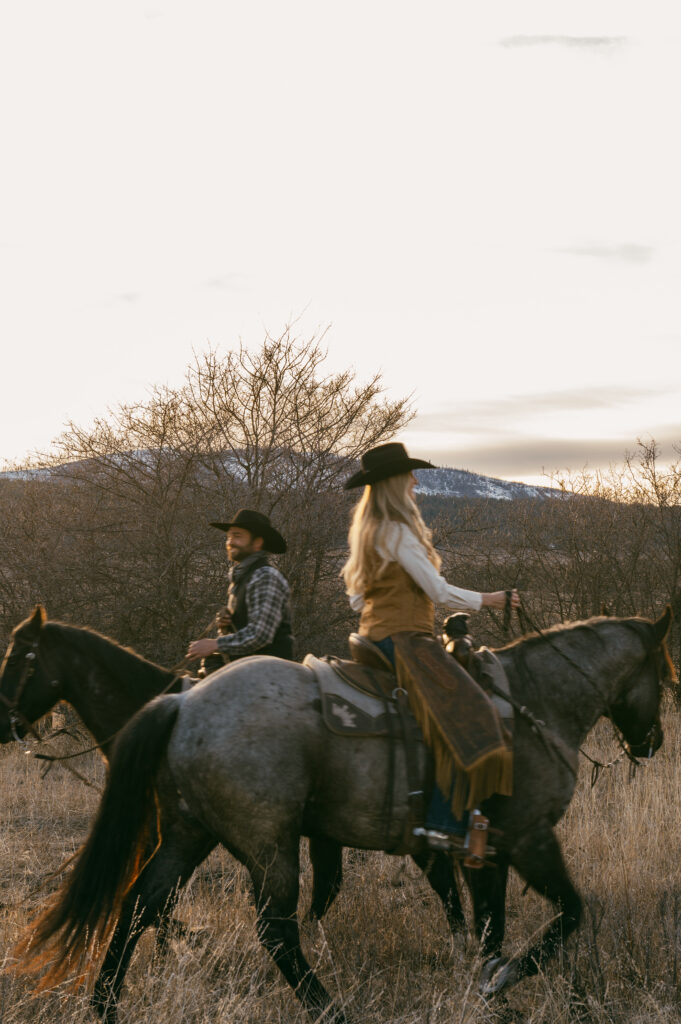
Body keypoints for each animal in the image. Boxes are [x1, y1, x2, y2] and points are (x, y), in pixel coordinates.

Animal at [0, 602, 667, 1019]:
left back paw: (105, 1003)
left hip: (192, 832)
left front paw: (491, 992)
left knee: (142, 899)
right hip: (267, 844)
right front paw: (499, 986)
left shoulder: (492, 850)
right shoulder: (529, 839)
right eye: (664, 674)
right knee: (272, 928)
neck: (533, 702)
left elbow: (490, 927)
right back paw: (331, 1010)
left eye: (21, 659)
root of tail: (184, 706)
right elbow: (566, 916)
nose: (653, 741)